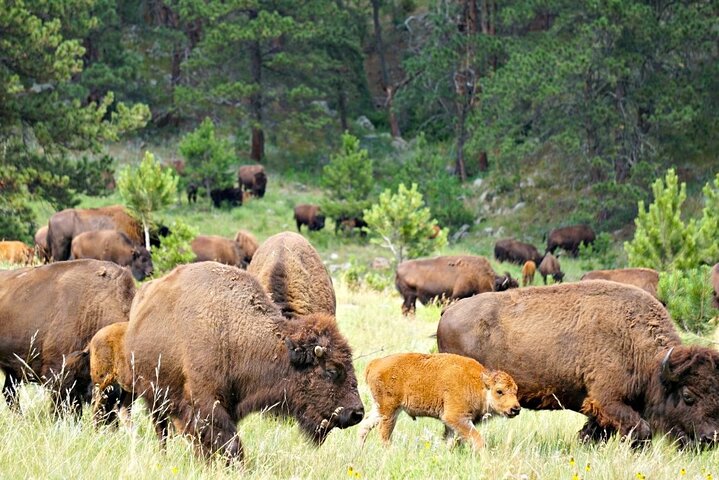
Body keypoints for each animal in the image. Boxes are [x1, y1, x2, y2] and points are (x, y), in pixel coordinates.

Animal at [120, 262, 364, 462]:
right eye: (332, 370)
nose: (357, 413)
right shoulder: (206, 404)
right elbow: (229, 443)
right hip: (153, 398)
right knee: (162, 431)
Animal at [437, 280, 719, 447]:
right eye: (688, 395)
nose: (711, 438)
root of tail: (448, 313)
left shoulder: (599, 407)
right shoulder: (608, 399)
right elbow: (641, 429)